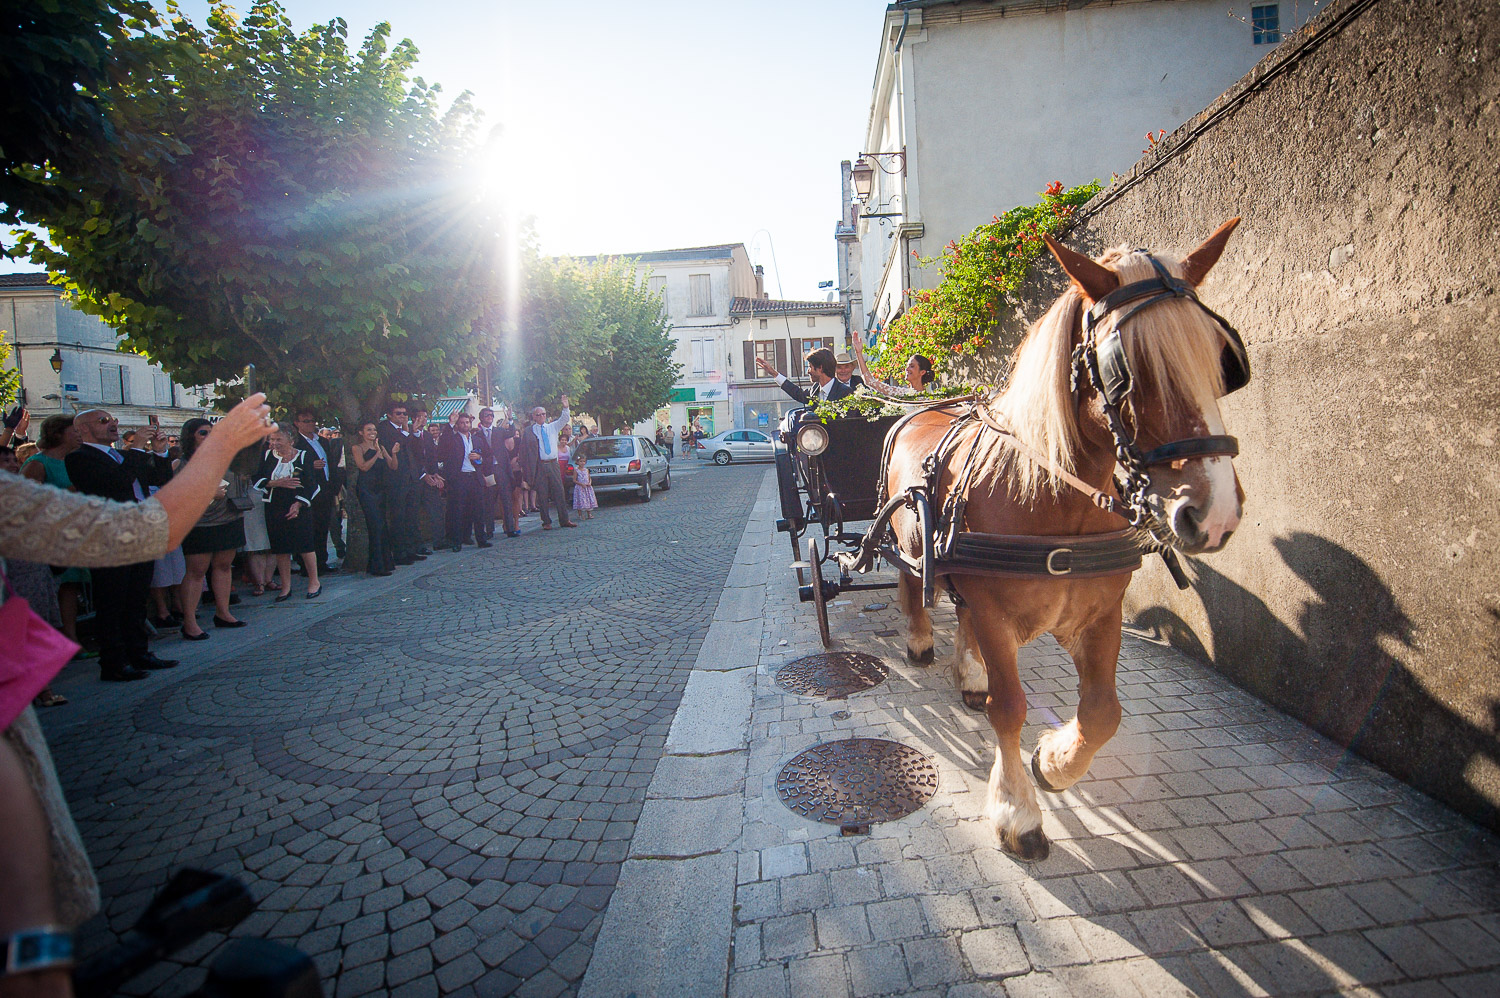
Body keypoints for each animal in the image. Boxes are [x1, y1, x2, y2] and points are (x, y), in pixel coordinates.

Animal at [882, 222, 1248, 858]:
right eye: (1125, 366)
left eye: (1220, 356)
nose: (1216, 513)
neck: (1053, 498)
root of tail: (920, 409)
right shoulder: (999, 616)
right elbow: (1010, 707)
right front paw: (1017, 810)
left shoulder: (1100, 613)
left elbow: (1103, 712)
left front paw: (1052, 763)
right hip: (911, 549)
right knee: (914, 587)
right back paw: (923, 640)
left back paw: (968, 672)